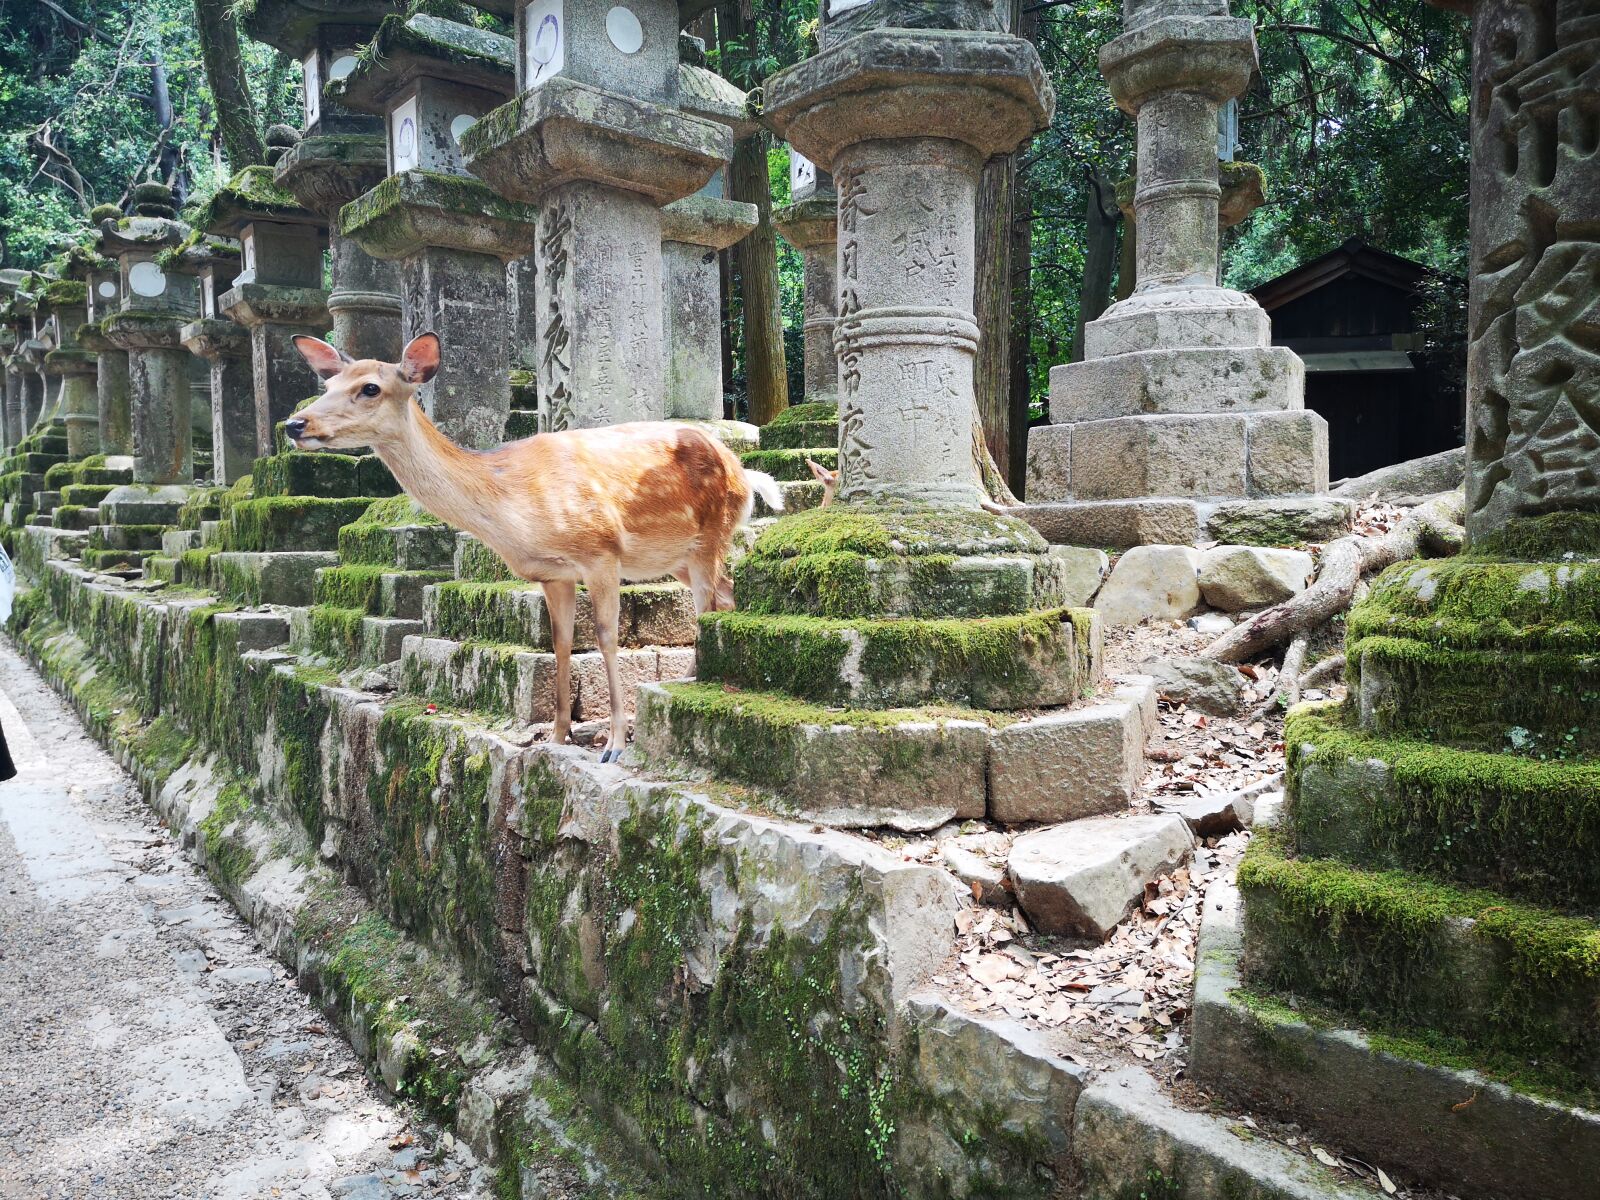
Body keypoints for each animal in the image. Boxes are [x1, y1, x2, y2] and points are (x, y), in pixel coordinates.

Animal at [291, 334, 790, 764]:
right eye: (327, 384)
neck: (512, 508)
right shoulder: (553, 573)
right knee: (727, 596)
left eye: (370, 388)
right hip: (675, 557)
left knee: (708, 606)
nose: (296, 423)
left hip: (710, 534)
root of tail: (746, 474)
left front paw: (615, 744)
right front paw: (555, 736)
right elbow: (561, 643)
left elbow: (605, 637)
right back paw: (690, 678)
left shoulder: (601, 552)